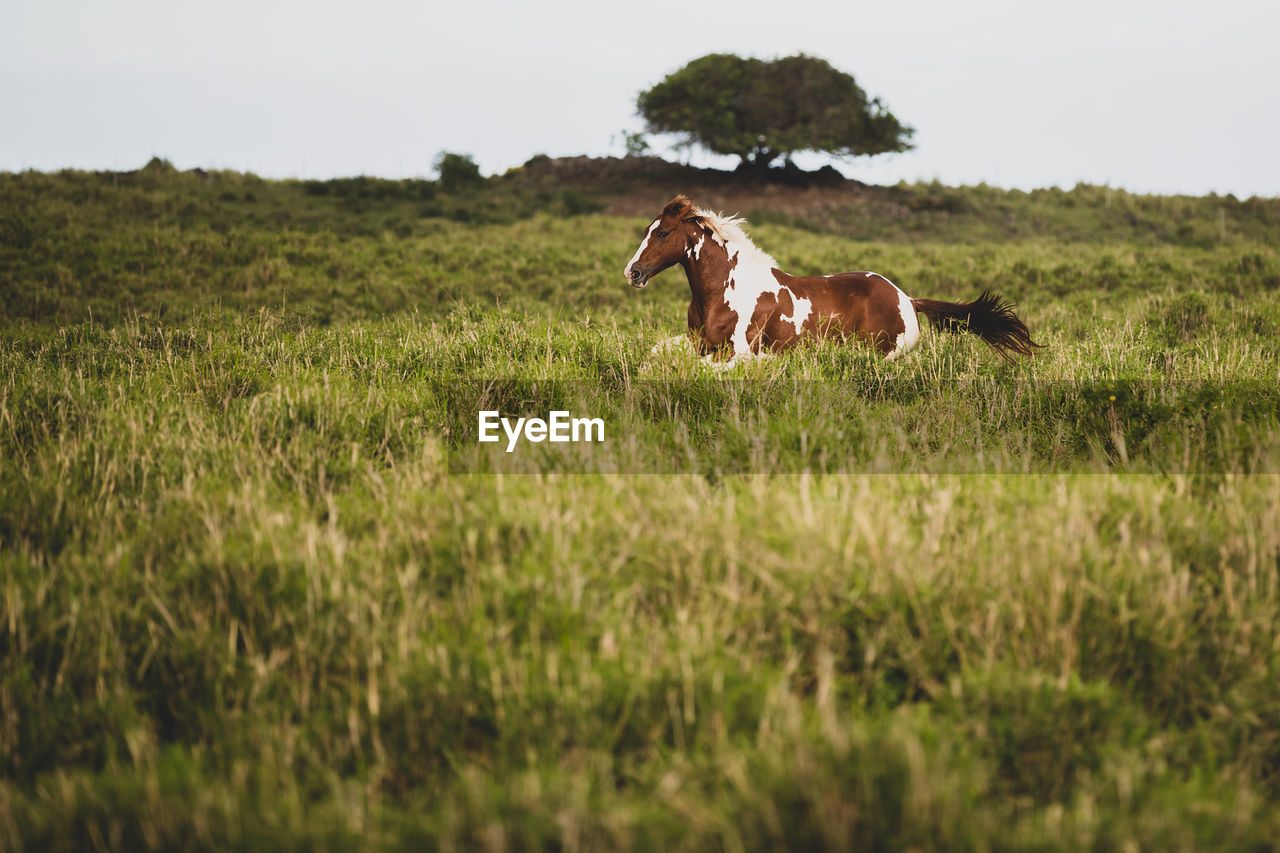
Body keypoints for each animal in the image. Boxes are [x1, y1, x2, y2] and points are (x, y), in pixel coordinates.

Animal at [624, 194, 1044, 363]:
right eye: (646, 229)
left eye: (663, 233)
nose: (633, 272)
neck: (726, 290)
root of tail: (907, 299)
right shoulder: (701, 346)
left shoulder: (739, 353)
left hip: (885, 355)